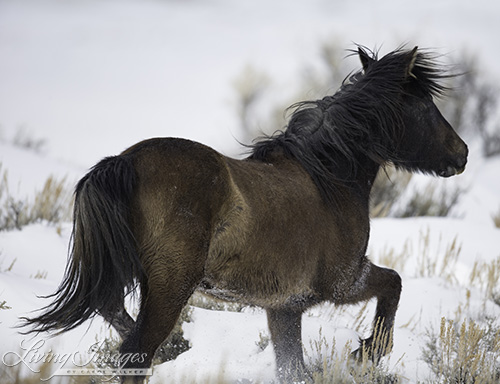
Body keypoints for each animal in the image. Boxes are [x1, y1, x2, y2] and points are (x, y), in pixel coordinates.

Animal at [22, 46, 468, 382]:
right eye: (425, 106)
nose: (461, 153)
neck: (330, 178)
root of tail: (123, 163)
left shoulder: (285, 307)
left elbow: (293, 368)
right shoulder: (343, 281)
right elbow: (393, 284)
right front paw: (368, 353)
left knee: (119, 319)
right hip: (170, 286)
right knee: (137, 352)